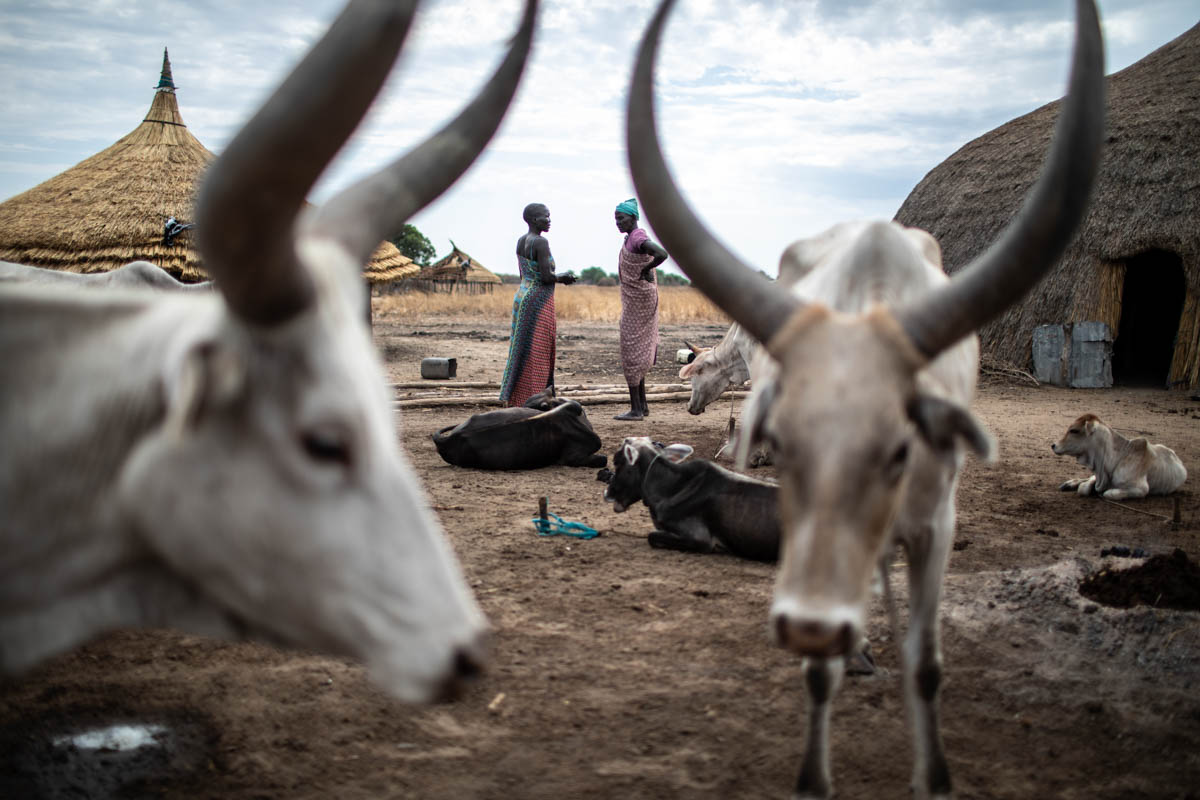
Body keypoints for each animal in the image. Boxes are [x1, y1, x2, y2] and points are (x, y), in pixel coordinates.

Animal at [1052, 413, 1187, 500]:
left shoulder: (1141, 489)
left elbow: (1108, 493)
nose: (1053, 445)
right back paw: (1069, 484)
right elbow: (1084, 487)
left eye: (1074, 430)